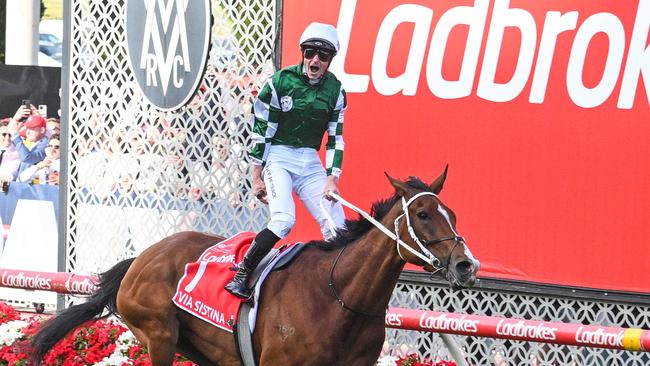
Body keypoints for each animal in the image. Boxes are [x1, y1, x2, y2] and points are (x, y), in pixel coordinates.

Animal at [30, 169, 476, 366]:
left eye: (452, 214)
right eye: (422, 214)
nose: (466, 264)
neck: (340, 297)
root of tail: (142, 257)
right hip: (158, 335)